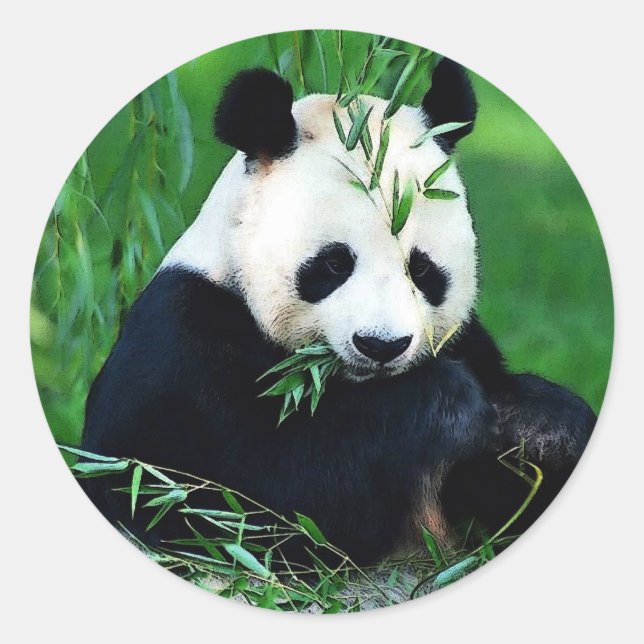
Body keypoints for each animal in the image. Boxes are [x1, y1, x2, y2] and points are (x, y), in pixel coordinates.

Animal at [81, 59, 596, 566]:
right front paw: (447, 403)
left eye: (422, 269)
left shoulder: (467, 341)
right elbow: (233, 499)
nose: (381, 346)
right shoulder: (179, 345)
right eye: (333, 264)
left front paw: (539, 426)